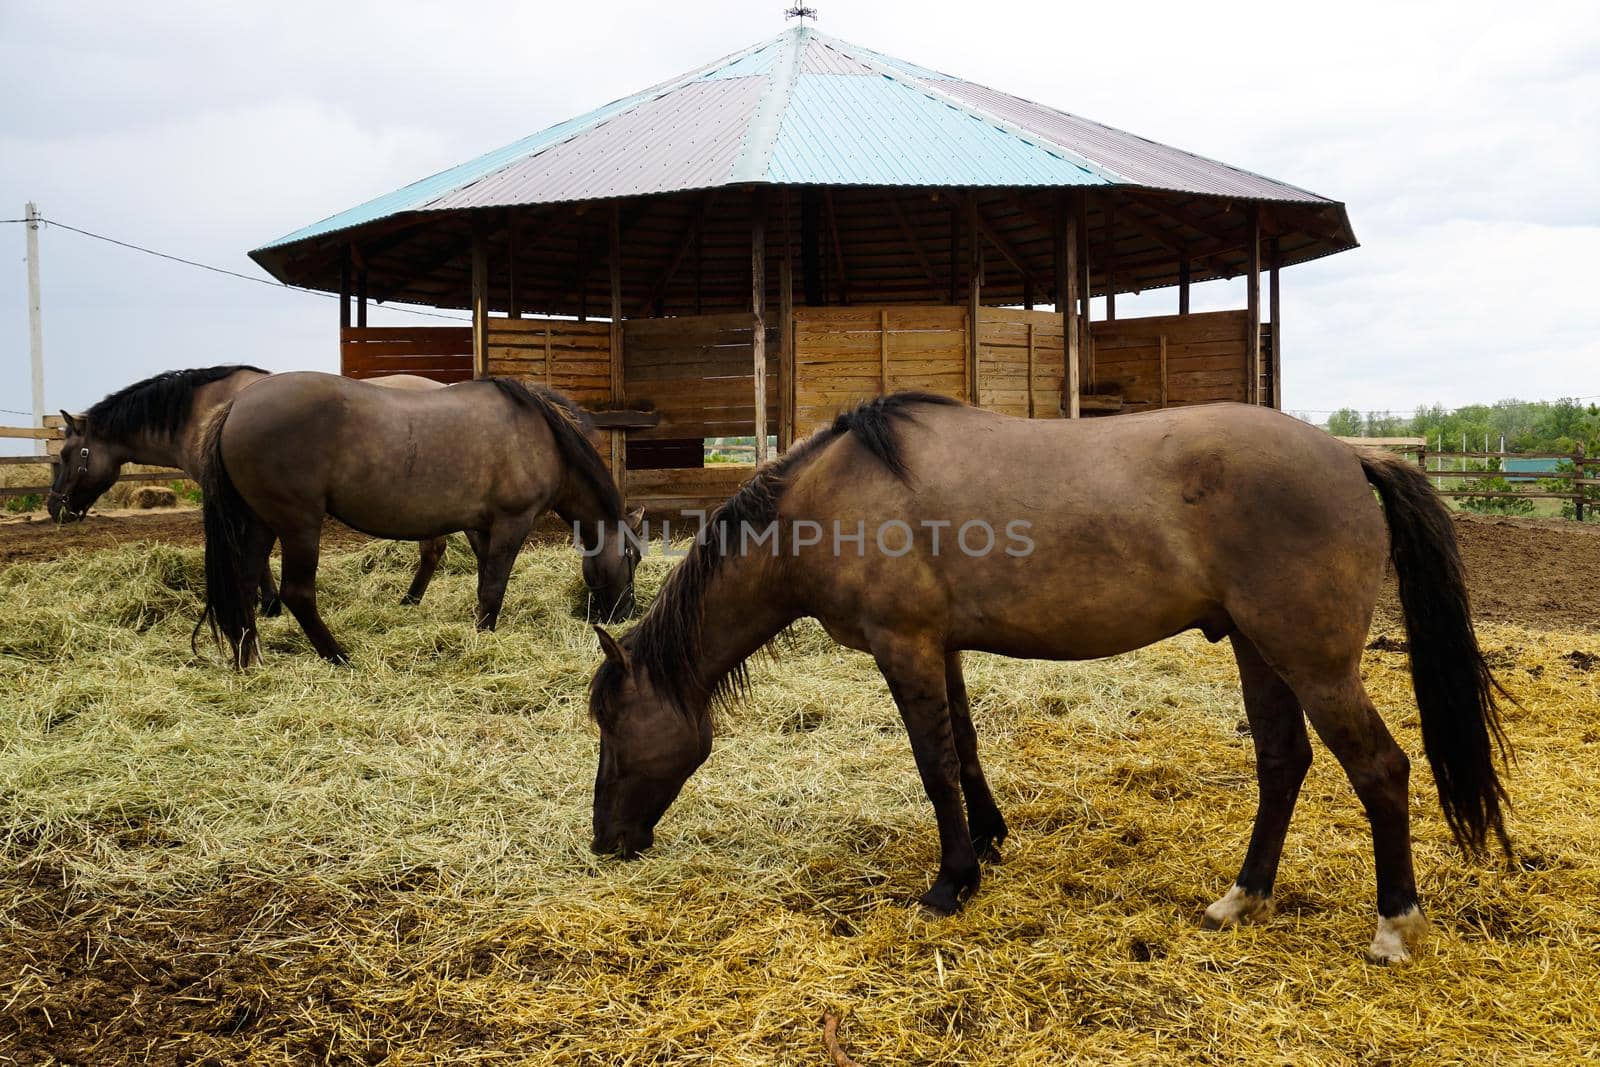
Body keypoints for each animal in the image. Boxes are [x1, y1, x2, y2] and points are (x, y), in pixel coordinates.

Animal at [45, 364, 457, 607]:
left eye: (67, 454)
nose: (54, 507)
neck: (202, 411)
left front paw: (268, 602)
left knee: (433, 548)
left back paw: (410, 599)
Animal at [201, 371, 643, 662]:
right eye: (633, 558)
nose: (625, 613)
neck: (543, 437)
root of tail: (235, 405)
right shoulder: (511, 523)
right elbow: (494, 586)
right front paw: (484, 637)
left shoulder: (481, 527)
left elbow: (485, 582)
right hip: (299, 526)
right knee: (298, 593)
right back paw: (337, 655)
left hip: (260, 524)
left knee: (244, 583)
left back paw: (248, 657)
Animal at [592, 396, 1510, 966]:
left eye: (609, 720)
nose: (606, 840)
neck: (830, 498)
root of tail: (1351, 457)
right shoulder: (941, 649)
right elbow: (963, 750)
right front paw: (989, 843)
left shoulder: (905, 648)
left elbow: (934, 766)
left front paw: (950, 881)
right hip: (1260, 649)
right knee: (1283, 763)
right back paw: (1241, 898)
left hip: (1312, 659)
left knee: (1380, 769)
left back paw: (1393, 924)